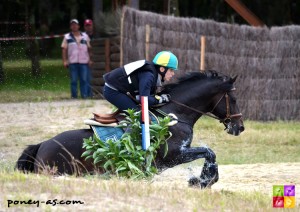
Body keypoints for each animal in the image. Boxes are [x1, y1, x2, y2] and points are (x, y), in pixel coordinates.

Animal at [15, 70, 244, 188]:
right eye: (233, 99)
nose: (240, 127)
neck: (176, 114)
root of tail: (42, 145)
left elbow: (209, 153)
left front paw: (203, 179)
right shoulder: (173, 155)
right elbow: (209, 152)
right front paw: (202, 180)